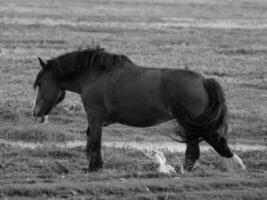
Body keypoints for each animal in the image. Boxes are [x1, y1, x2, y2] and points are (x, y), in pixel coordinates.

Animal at [32, 45, 248, 172]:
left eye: (40, 83)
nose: (36, 113)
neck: (95, 75)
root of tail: (204, 80)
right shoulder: (104, 119)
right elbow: (90, 138)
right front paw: (94, 164)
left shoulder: (95, 116)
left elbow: (95, 141)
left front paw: (94, 167)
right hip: (192, 126)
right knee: (193, 152)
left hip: (193, 124)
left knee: (210, 144)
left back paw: (236, 165)